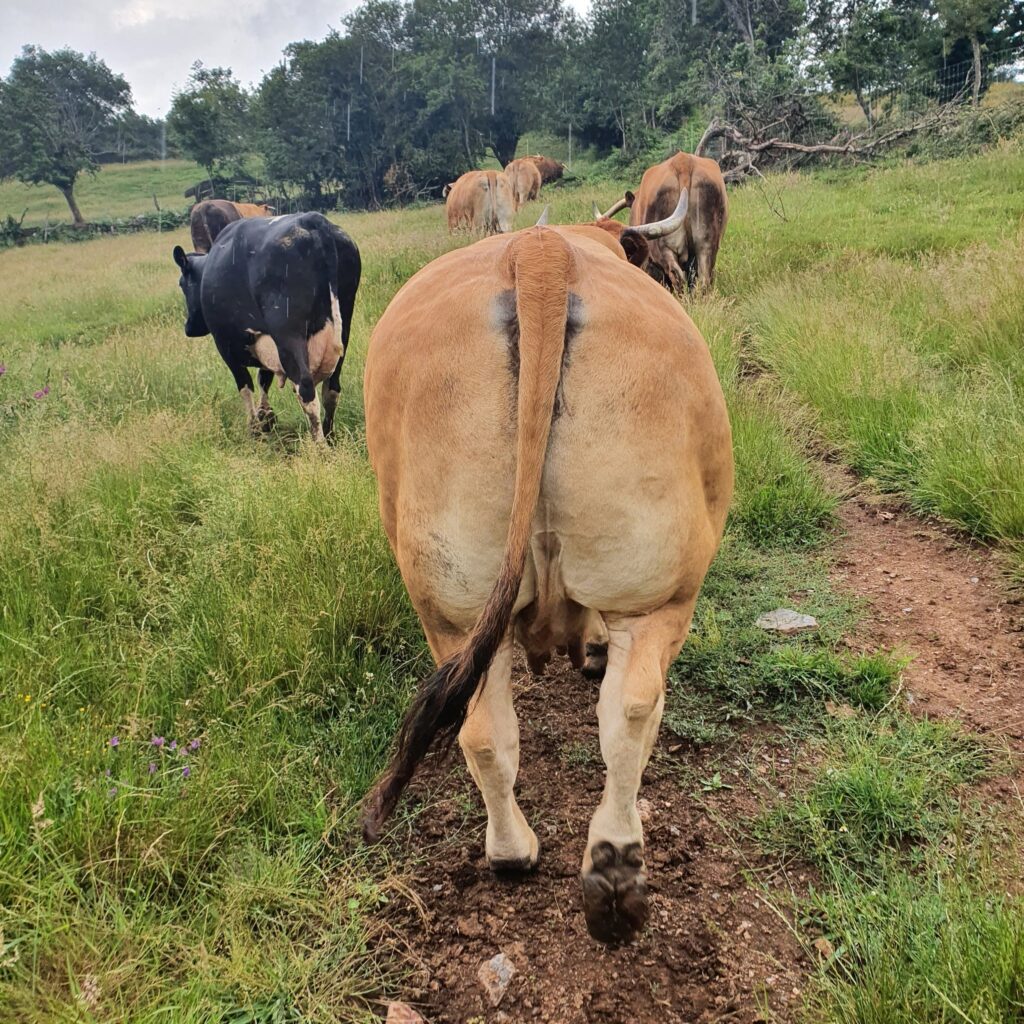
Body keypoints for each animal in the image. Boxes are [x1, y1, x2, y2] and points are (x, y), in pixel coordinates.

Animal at [172, 212, 361, 442]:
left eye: (182, 284)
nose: (189, 327)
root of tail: (313, 220)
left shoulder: (225, 345)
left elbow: (245, 385)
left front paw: (254, 426)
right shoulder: (262, 337)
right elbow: (264, 378)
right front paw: (266, 416)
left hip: (288, 333)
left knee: (306, 389)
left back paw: (319, 444)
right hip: (344, 327)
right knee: (332, 389)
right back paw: (329, 434)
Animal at [361, 224, 733, 945]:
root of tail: (538, 251)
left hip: (454, 610)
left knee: (481, 731)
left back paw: (516, 855)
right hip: (660, 597)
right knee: (633, 712)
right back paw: (612, 868)